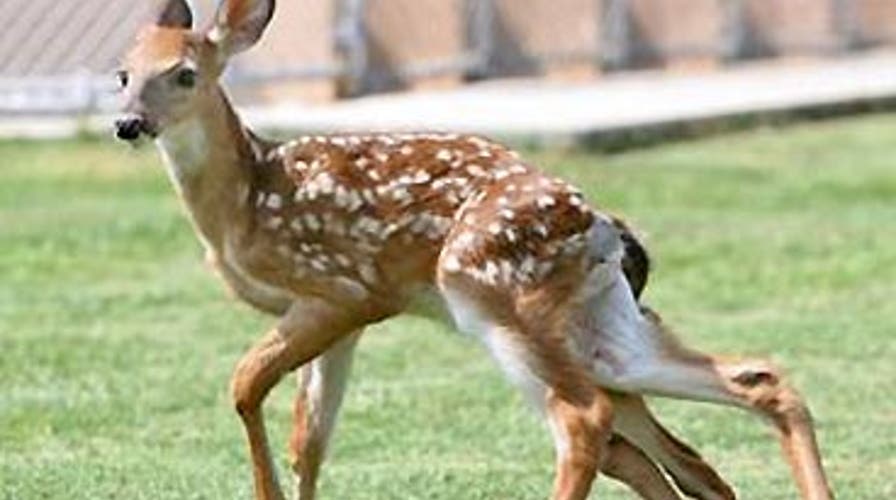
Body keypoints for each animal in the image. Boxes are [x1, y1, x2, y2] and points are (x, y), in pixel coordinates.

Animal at [114, 1, 834, 499]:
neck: (245, 201)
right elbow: (309, 438)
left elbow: (244, 387)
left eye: (184, 74)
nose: (127, 123)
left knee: (586, 422)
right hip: (599, 325)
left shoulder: (344, 290)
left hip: (493, 293)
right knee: (749, 384)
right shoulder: (334, 320)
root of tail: (599, 222)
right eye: (122, 74)